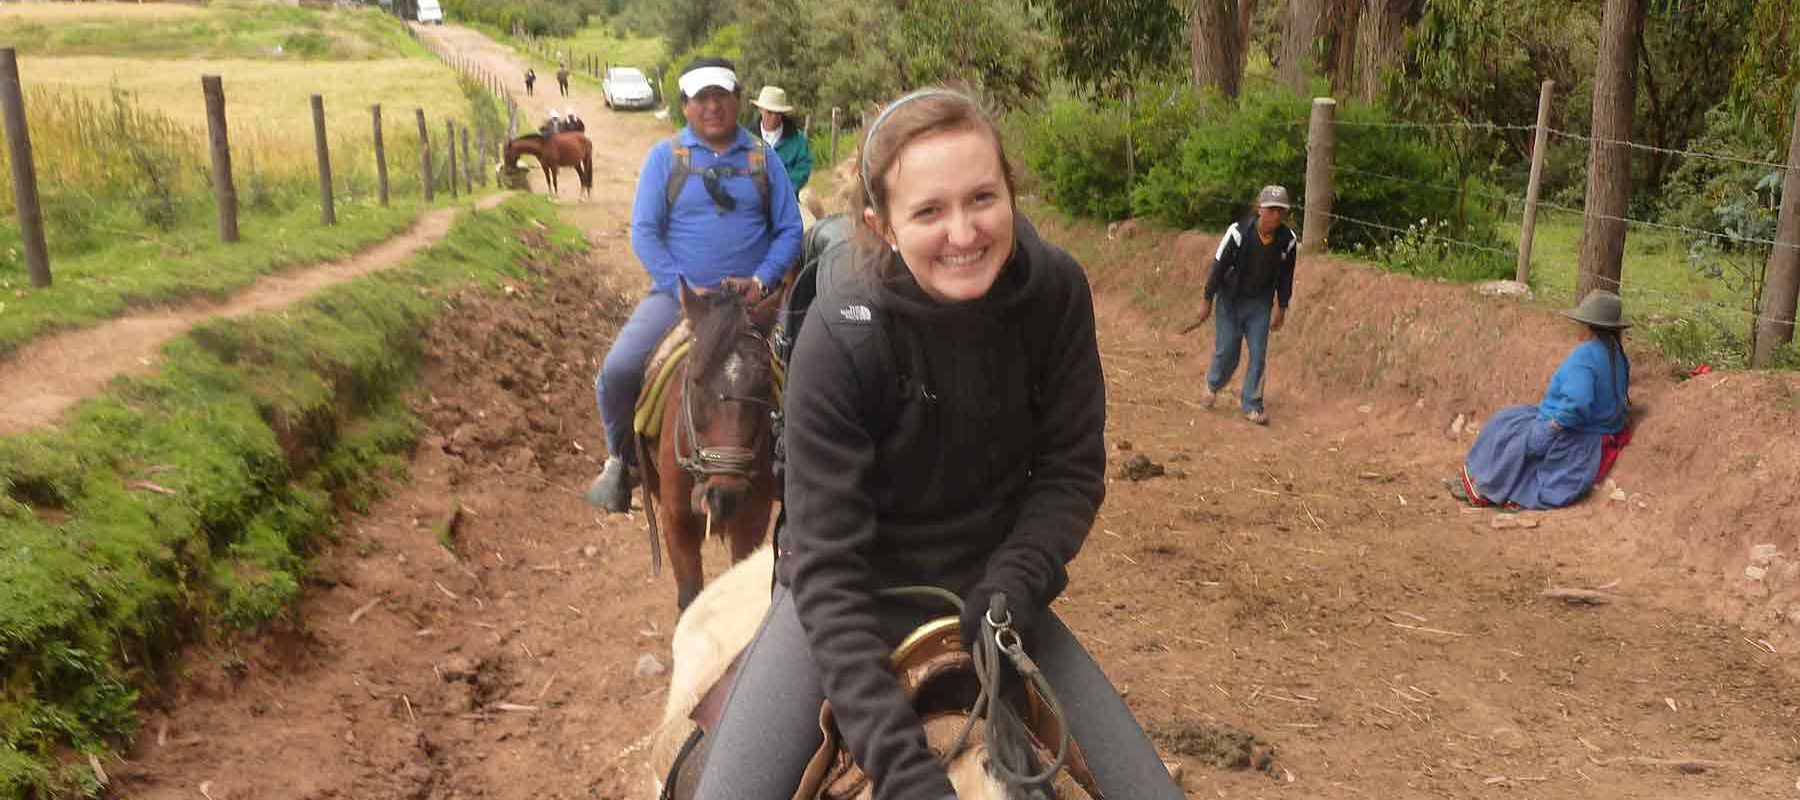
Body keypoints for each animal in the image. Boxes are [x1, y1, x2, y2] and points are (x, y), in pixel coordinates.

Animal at [637, 281, 784, 612]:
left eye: (764, 384)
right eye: (695, 380)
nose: (726, 494)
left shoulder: (751, 520)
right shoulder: (675, 521)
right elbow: (691, 595)